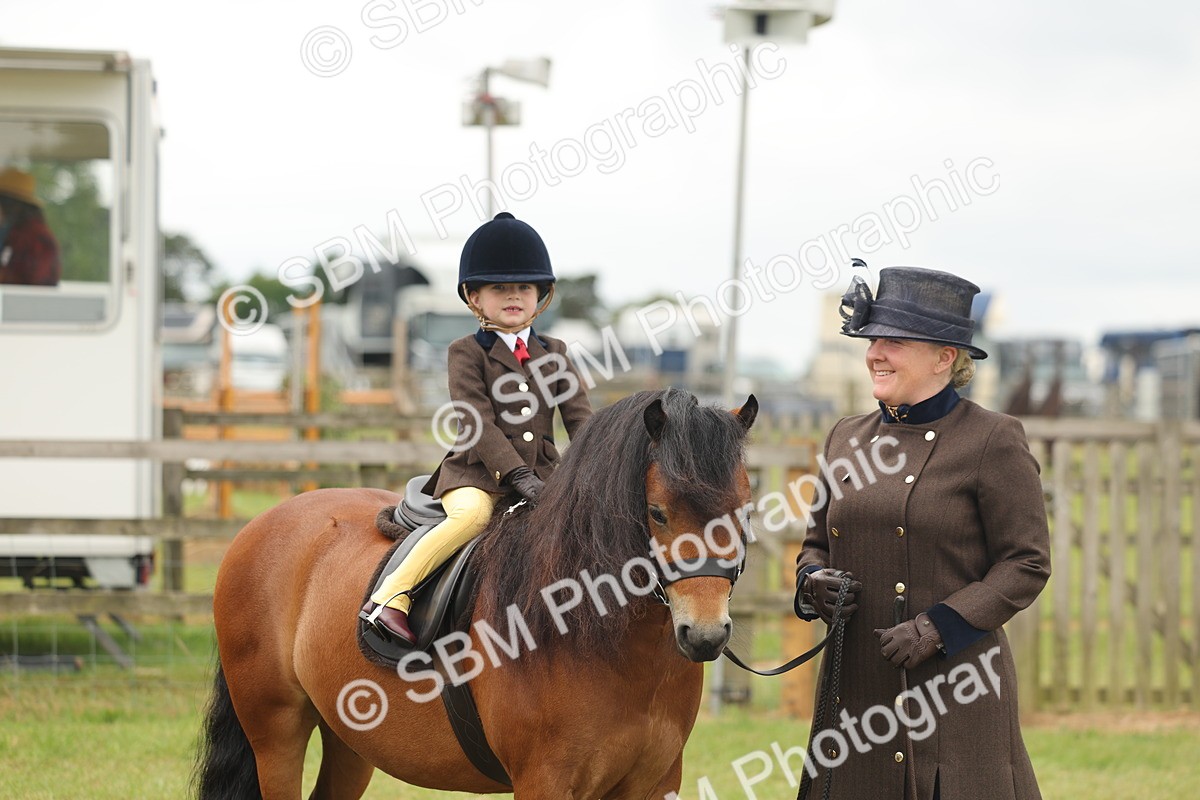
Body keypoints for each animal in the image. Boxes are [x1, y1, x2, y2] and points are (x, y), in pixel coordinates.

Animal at [194, 388, 758, 799]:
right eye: (658, 513)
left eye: (746, 511)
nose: (705, 635)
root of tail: (265, 523)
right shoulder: (545, 782)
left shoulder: (655, 783)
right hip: (276, 732)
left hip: (349, 738)